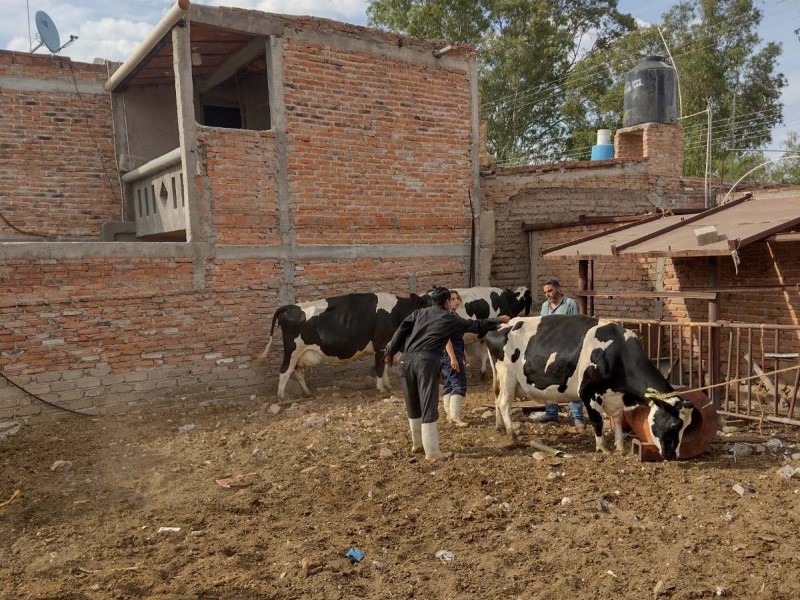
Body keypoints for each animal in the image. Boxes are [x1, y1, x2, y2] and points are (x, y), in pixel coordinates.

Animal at [256, 292, 430, 399]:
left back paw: (307, 393)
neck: (396, 311)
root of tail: (291, 306)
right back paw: (281, 397)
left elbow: (385, 367)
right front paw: (381, 388)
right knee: (284, 371)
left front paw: (387, 386)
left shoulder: (386, 347)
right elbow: (380, 368)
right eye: (431, 302)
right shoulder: (380, 345)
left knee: (298, 373)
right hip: (292, 351)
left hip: (300, 355)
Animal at [485, 314, 695, 460]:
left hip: (501, 378)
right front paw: (602, 448)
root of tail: (502, 325)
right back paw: (511, 434)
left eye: (687, 427)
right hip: (507, 377)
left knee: (496, 399)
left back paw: (499, 427)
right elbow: (597, 421)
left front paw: (620, 446)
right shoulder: (588, 393)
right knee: (504, 403)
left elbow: (617, 420)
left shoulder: (615, 397)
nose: (673, 456)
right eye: (674, 424)